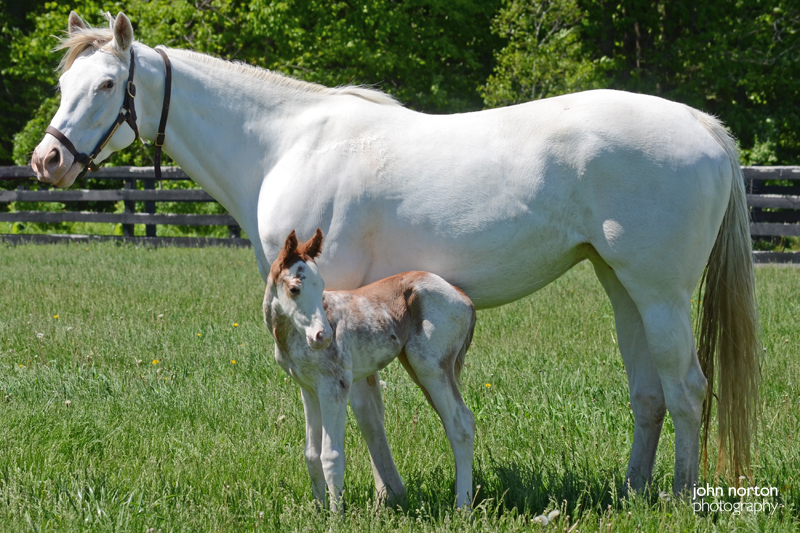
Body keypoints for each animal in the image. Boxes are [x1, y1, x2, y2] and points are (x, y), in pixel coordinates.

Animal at [262, 229, 476, 512]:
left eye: (321, 286)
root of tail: (464, 297)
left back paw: (463, 508)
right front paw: (318, 512)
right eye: (294, 288)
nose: (323, 337)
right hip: (421, 369)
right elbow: (312, 454)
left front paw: (336, 516)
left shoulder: (335, 386)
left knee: (461, 426)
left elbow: (331, 456)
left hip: (431, 368)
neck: (291, 338)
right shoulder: (309, 389)